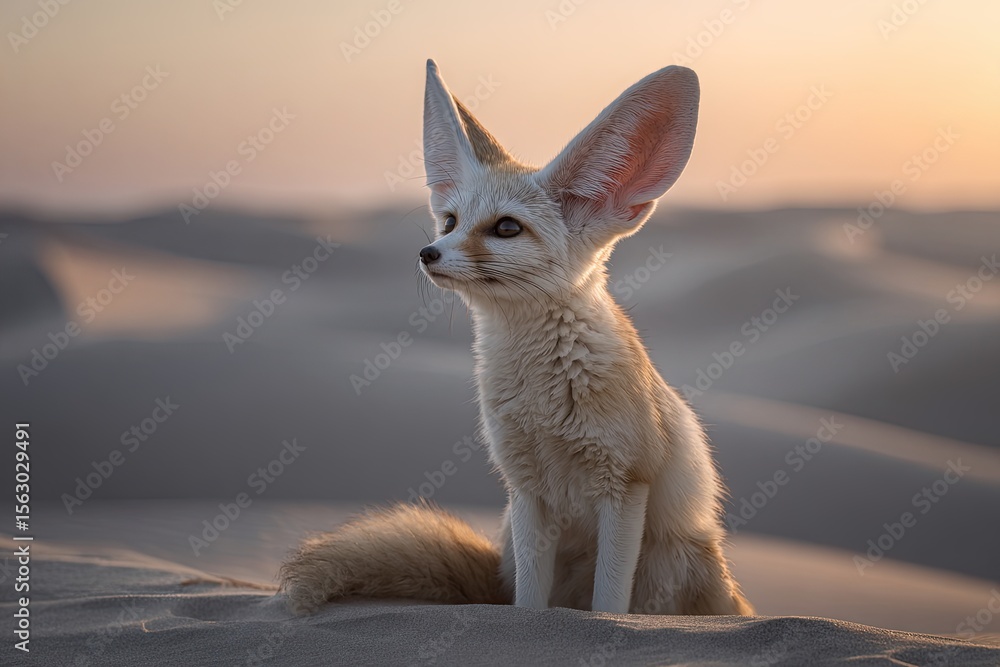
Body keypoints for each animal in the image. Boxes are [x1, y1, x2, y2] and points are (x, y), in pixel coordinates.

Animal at [279, 60, 753, 616]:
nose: (427, 253)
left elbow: (609, 603)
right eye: (450, 221)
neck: (544, 401)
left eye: (506, 228)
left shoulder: (625, 485)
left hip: (670, 563)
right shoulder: (525, 490)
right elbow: (526, 604)